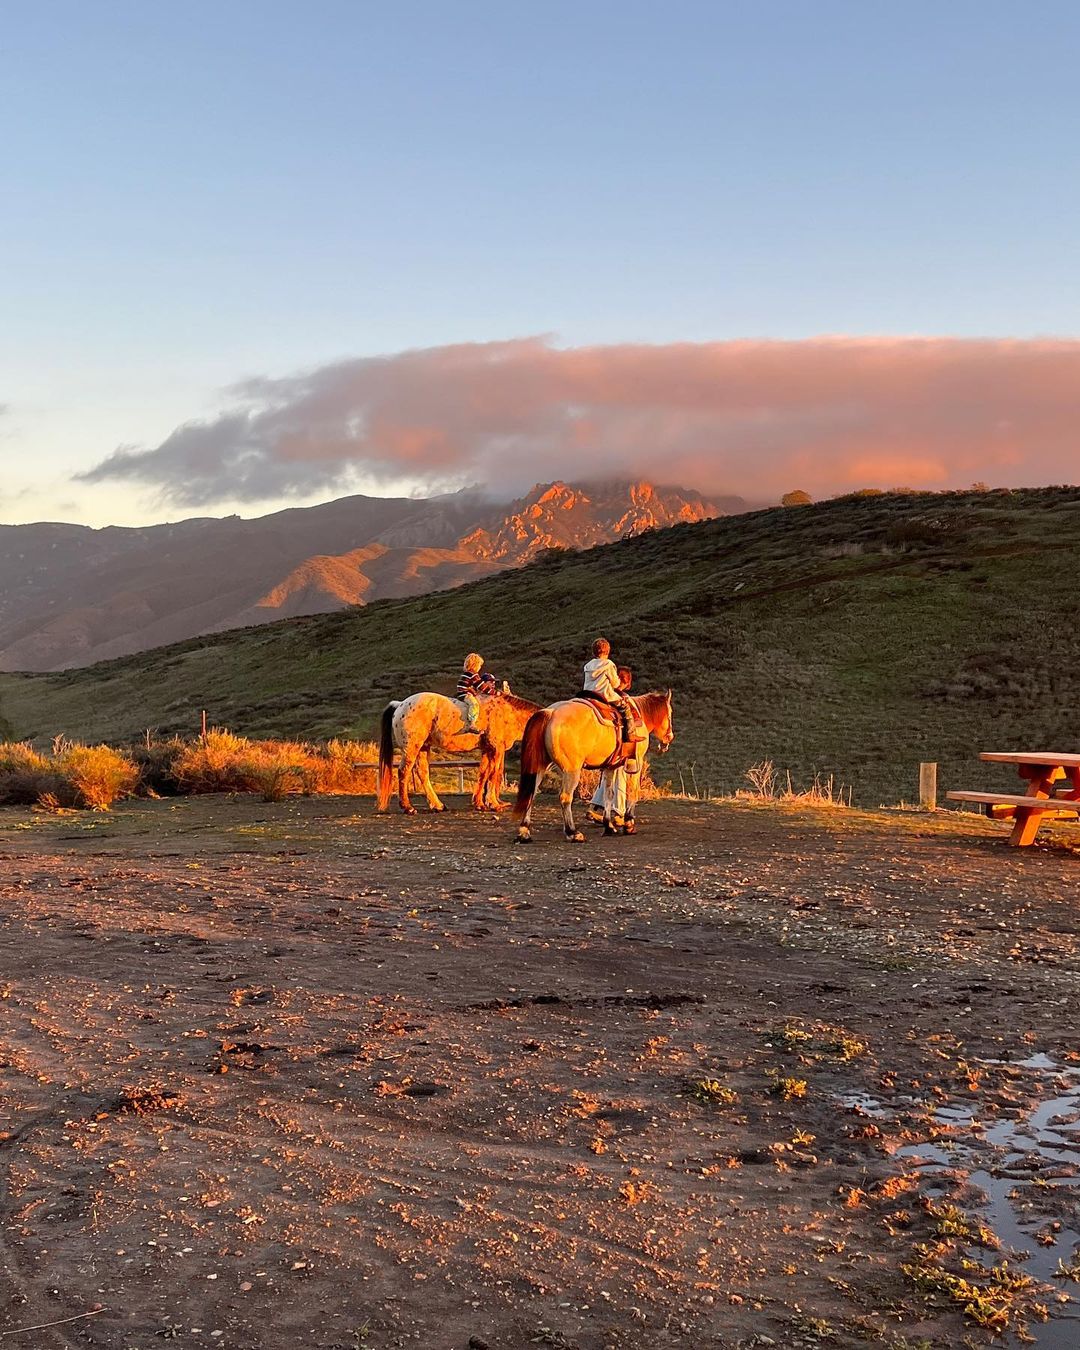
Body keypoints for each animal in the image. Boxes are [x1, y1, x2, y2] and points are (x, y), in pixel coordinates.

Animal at [377, 691, 542, 814]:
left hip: (423, 748)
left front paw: (479, 803)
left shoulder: (487, 750)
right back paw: (408, 807)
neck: (508, 713)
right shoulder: (496, 750)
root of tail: (400, 704)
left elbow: (483, 774)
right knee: (403, 771)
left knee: (422, 773)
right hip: (412, 747)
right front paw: (493, 804)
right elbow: (493, 774)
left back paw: (437, 805)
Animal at [513, 690, 675, 842]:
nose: (669, 738)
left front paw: (608, 826)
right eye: (670, 714)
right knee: (565, 797)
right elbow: (632, 792)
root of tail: (551, 712)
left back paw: (524, 832)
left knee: (532, 792)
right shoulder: (636, 764)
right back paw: (573, 833)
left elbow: (609, 794)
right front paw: (629, 824)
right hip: (571, 770)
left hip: (540, 766)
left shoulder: (610, 767)